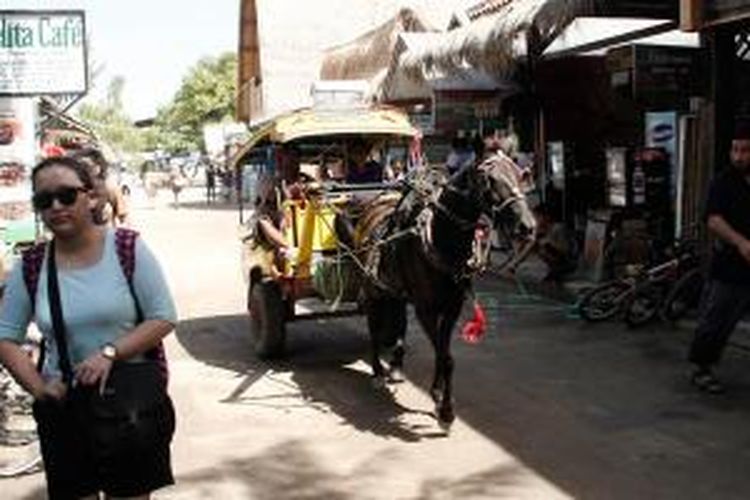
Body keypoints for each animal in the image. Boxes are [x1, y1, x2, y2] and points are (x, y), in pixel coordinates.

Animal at [354, 154, 536, 428]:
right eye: (491, 181)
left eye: (520, 175)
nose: (528, 226)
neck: (442, 240)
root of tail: (373, 204)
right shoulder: (426, 310)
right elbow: (444, 355)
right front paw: (446, 410)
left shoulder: (452, 308)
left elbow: (444, 353)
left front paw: (438, 394)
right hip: (374, 290)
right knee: (374, 330)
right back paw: (377, 371)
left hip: (395, 291)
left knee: (398, 323)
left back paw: (395, 365)